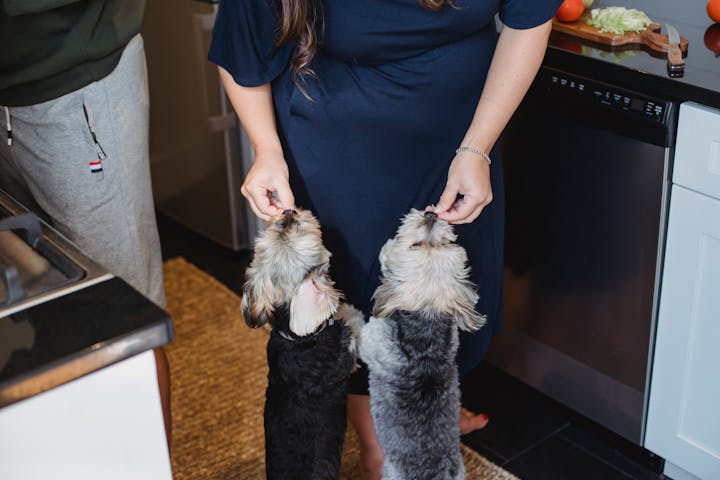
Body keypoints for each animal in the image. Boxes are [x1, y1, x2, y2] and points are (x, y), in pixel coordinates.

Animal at [242, 209, 366, 480]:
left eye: (279, 227)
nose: (288, 212)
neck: (297, 339)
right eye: (297, 229)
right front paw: (351, 314)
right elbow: (349, 329)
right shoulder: (343, 355)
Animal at [358, 209, 486, 480]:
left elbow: (356, 326)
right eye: (446, 243)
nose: (430, 214)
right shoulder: (452, 337)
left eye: (415, 245)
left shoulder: (371, 341)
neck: (426, 322)